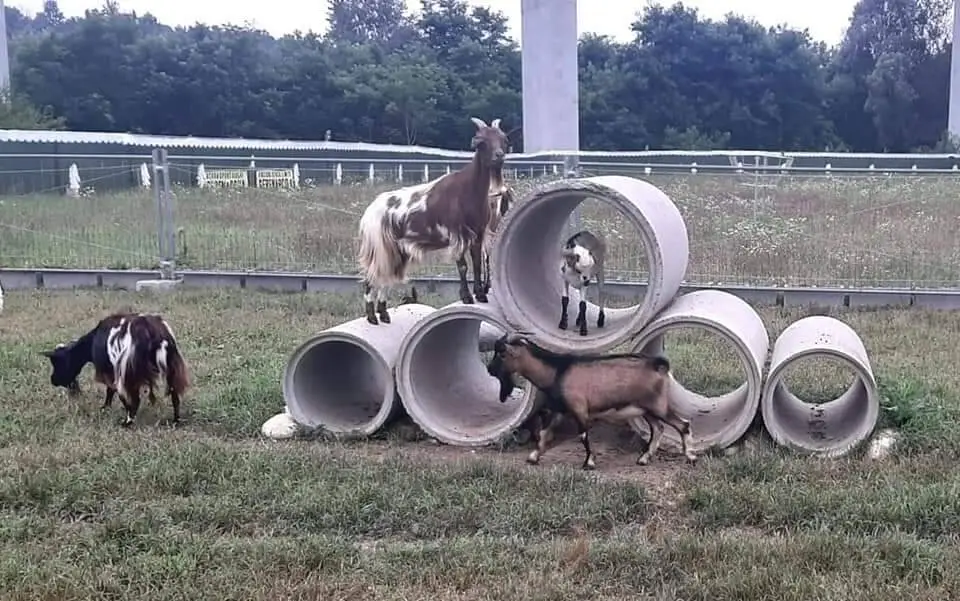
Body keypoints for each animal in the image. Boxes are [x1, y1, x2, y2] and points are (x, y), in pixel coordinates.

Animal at [40, 312, 189, 424]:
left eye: (57, 362)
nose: (53, 380)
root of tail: (155, 334)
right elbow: (111, 391)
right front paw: (105, 407)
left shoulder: (111, 371)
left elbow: (116, 392)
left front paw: (111, 409)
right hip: (172, 368)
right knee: (175, 394)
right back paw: (176, 420)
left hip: (131, 372)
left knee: (136, 398)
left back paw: (127, 422)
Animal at [358, 116, 510, 324]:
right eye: (481, 142)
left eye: (502, 139)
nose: (499, 156)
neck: (468, 190)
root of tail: (369, 211)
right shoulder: (457, 234)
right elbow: (463, 267)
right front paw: (466, 296)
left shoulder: (477, 234)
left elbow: (477, 264)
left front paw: (480, 294)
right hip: (379, 245)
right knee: (373, 275)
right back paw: (372, 316)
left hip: (395, 249)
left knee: (386, 276)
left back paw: (383, 313)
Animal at [484, 332, 692, 468]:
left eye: (502, 353)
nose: (489, 369)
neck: (557, 371)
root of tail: (658, 366)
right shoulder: (560, 410)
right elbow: (544, 433)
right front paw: (534, 457)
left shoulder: (579, 409)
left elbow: (583, 436)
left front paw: (589, 462)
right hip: (647, 409)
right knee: (658, 429)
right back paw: (643, 459)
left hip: (658, 406)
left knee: (683, 425)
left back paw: (690, 457)